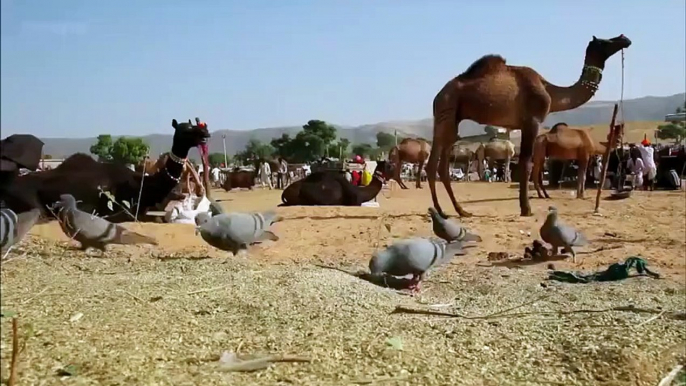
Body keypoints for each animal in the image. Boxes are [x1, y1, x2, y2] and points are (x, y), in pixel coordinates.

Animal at [430, 34, 636, 219]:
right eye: (603, 41)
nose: (624, 38)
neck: (550, 91)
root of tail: (438, 96)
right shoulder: (532, 121)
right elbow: (526, 164)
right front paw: (526, 209)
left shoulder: (523, 125)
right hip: (447, 113)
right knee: (437, 164)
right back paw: (447, 211)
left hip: (449, 118)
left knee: (439, 165)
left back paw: (455, 210)